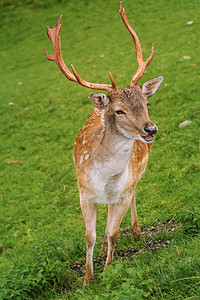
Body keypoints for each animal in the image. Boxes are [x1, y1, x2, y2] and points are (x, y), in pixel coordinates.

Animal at [45, 0, 164, 286]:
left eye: (146, 103)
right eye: (119, 111)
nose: (151, 129)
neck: (107, 178)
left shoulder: (122, 193)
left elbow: (113, 233)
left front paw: (108, 271)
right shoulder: (84, 194)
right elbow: (90, 236)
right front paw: (88, 279)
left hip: (135, 179)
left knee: (130, 202)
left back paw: (136, 231)